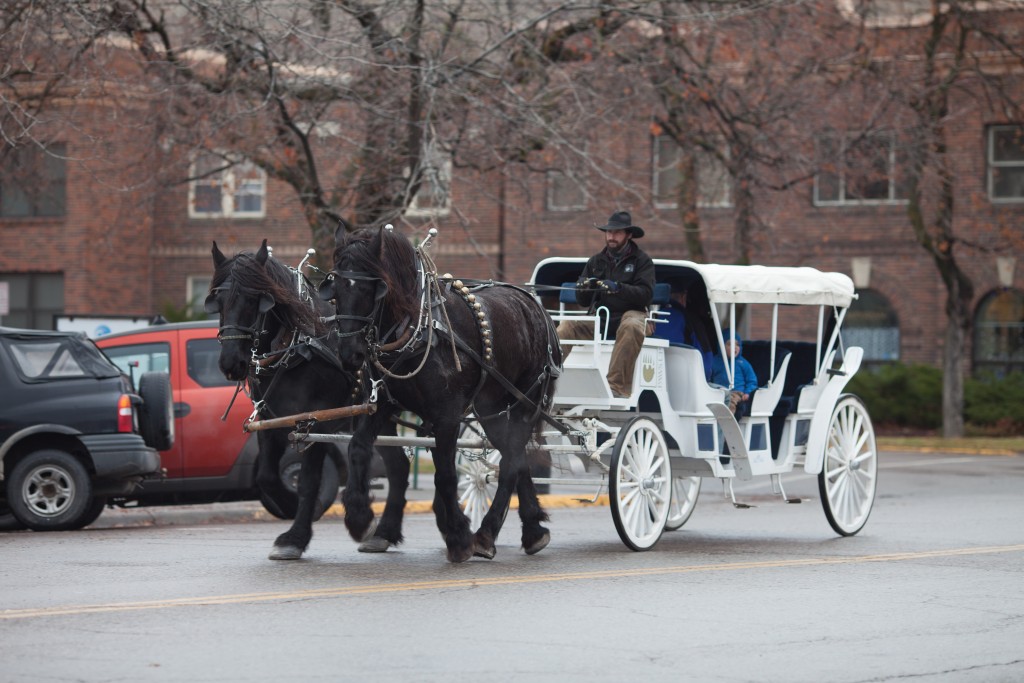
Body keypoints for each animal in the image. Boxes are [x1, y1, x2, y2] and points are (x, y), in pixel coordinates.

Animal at [203, 240, 411, 561]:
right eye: (219, 301)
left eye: (255, 300)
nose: (231, 362)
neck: (297, 347)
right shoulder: (271, 421)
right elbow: (266, 476)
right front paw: (291, 508)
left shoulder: (314, 421)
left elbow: (309, 480)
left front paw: (296, 537)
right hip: (380, 416)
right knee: (399, 465)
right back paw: (384, 533)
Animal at [319, 227, 561, 565]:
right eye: (336, 289)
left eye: (372, 289)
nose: (349, 354)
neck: (416, 330)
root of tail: (536, 306)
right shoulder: (383, 405)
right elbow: (358, 448)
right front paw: (360, 517)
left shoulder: (447, 415)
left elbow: (445, 474)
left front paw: (458, 535)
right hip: (493, 410)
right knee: (516, 458)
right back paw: (532, 530)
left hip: (524, 403)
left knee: (512, 461)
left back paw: (485, 534)